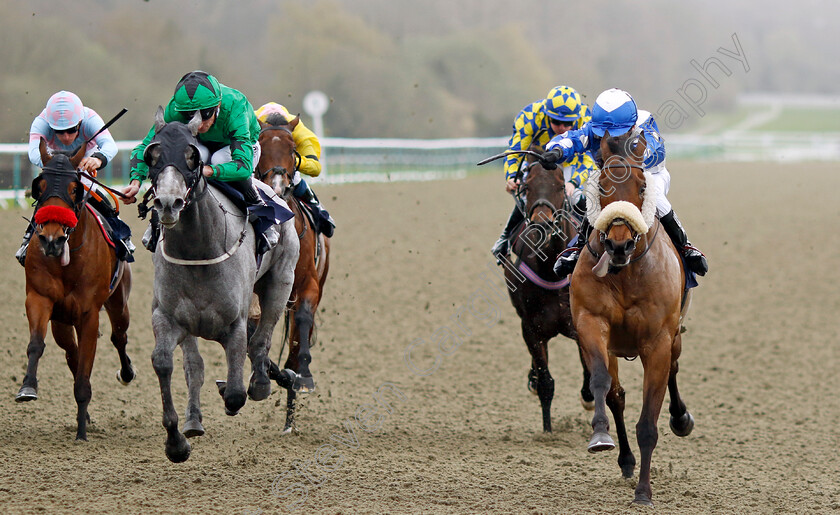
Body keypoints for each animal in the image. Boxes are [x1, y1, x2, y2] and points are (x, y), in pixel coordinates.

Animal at [16, 142, 135, 444]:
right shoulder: (39, 299)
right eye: (40, 185)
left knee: (119, 337)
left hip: (118, 303)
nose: (52, 239)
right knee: (72, 353)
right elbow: (37, 345)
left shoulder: (89, 314)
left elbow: (85, 371)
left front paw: (81, 432)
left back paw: (126, 373)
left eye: (73, 188)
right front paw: (27, 387)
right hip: (61, 322)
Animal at [502, 149, 592, 436]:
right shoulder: (531, 327)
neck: (551, 267)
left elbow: (591, 374)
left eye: (559, 186)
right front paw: (548, 431)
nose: (542, 224)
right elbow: (546, 382)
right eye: (527, 187)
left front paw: (589, 400)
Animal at [572, 131, 696, 506]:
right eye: (602, 186)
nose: (619, 245)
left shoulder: (657, 342)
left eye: (642, 187)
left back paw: (681, 419)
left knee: (673, 370)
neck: (625, 274)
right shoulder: (590, 322)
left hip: (675, 338)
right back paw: (625, 460)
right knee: (616, 394)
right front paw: (600, 435)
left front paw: (644, 493)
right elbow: (601, 382)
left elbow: (648, 423)